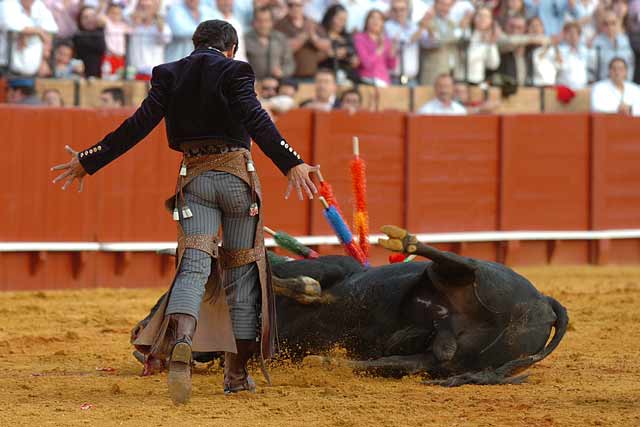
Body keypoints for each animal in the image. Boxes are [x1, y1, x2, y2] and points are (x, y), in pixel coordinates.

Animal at [132, 227, 568, 388]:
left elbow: (305, 287)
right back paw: (328, 362)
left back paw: (403, 240)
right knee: (419, 359)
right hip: (449, 359)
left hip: (482, 280)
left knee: (458, 263)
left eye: (168, 297)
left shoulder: (329, 269)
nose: (137, 336)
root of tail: (544, 303)